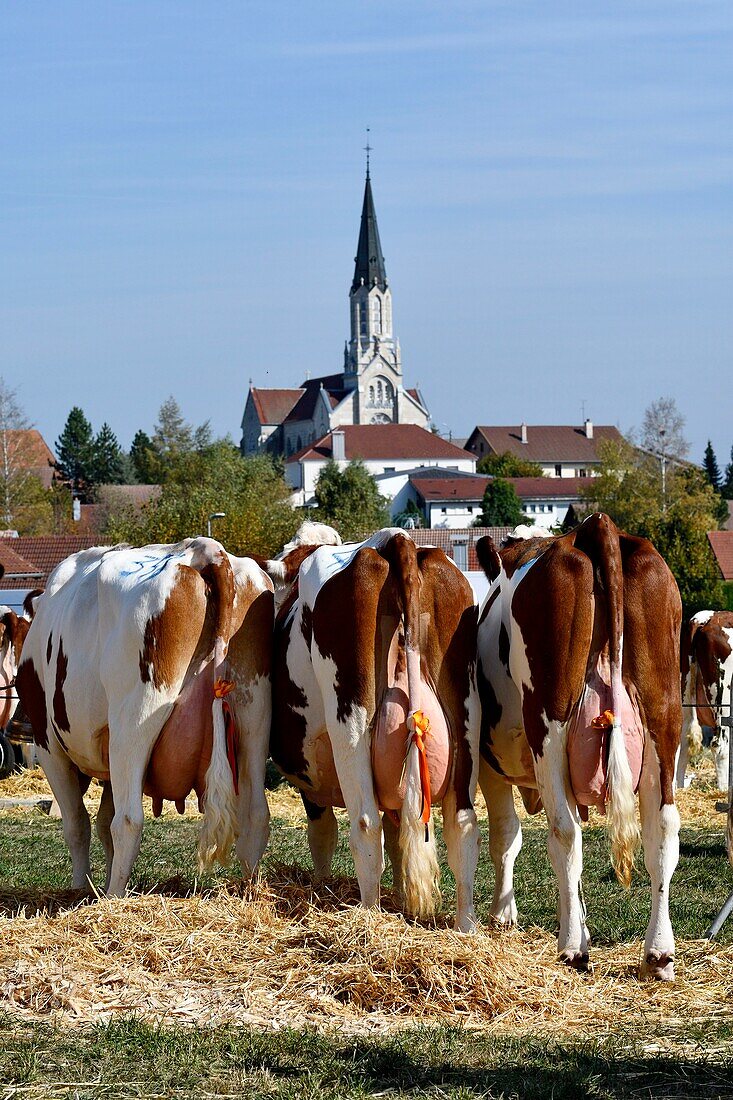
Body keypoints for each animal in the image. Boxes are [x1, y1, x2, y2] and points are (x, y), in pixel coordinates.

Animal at [17, 539, 274, 893]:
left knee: (128, 820)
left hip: (133, 723)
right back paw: (249, 890)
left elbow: (78, 824)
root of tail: (204, 550)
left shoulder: (49, 746)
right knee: (256, 815)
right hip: (254, 715)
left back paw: (114, 897)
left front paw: (82, 888)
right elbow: (100, 821)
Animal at [265, 523, 482, 928]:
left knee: (365, 824)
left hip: (350, 721)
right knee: (462, 825)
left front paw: (322, 889)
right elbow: (400, 836)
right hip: (466, 719)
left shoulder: (311, 778)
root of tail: (393, 539)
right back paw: (466, 927)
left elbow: (323, 834)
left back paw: (369, 917)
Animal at [473, 512, 677, 981]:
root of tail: (594, 526)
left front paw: (503, 916)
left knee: (565, 833)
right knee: (662, 832)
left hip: (550, 725)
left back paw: (571, 949)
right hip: (664, 719)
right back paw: (657, 954)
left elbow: (505, 834)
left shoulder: (490, 762)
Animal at [673, 611, 730, 800]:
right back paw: (724, 790)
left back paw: (679, 787)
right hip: (722, 699)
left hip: (684, 690)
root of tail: (706, 618)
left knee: (681, 739)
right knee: (720, 745)